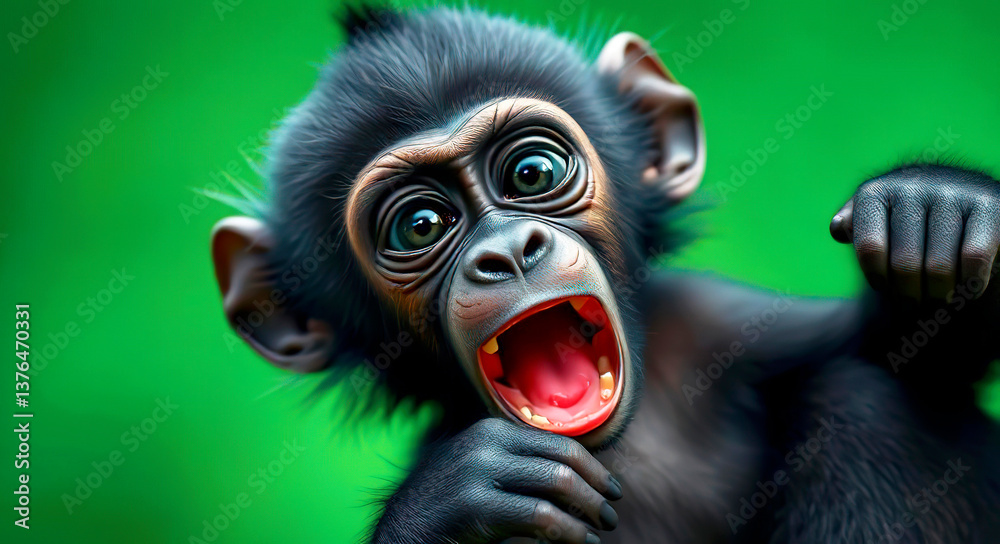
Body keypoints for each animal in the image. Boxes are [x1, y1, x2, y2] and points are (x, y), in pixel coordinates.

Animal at [208, 5, 1000, 543]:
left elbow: (901, 355)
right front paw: (454, 497)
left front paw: (936, 208)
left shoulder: (724, 320)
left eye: (532, 172)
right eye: (421, 226)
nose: (508, 252)